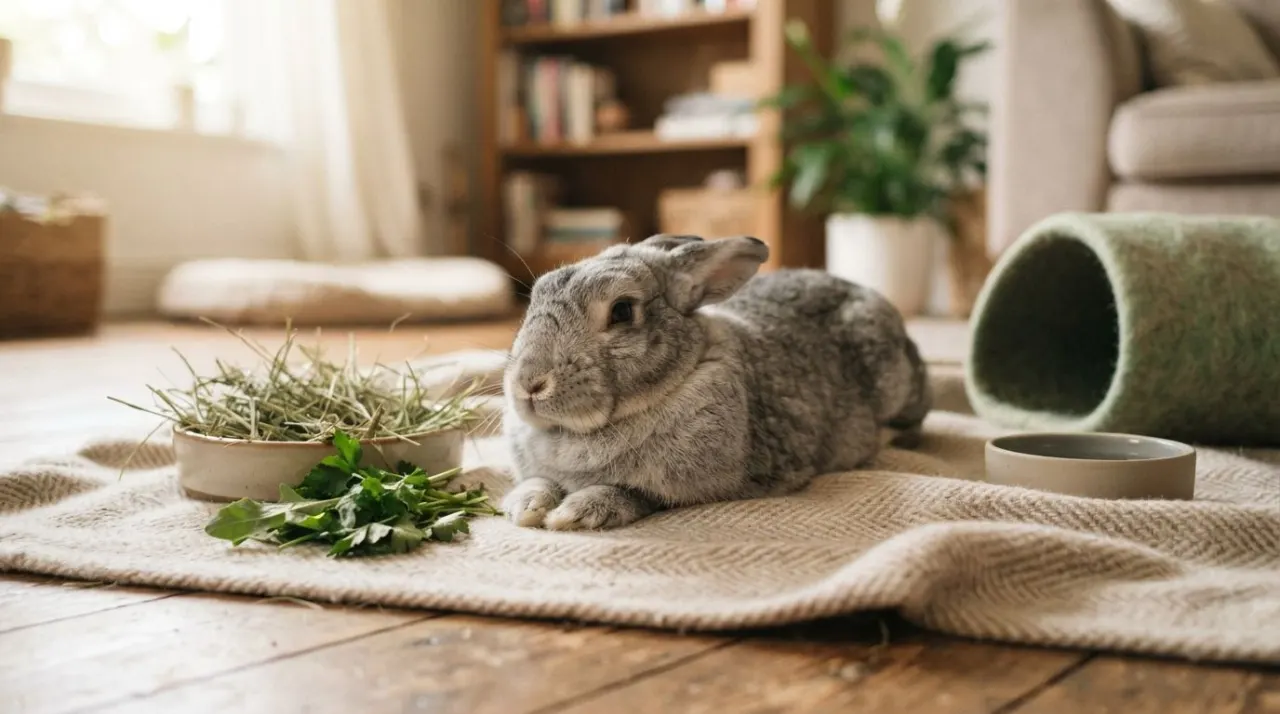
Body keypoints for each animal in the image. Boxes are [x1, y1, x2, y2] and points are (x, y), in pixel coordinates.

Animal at [501, 234, 931, 531]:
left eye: (622, 310)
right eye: (533, 298)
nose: (528, 384)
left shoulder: (698, 487)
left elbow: (633, 492)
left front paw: (573, 515)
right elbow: (537, 481)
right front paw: (524, 508)